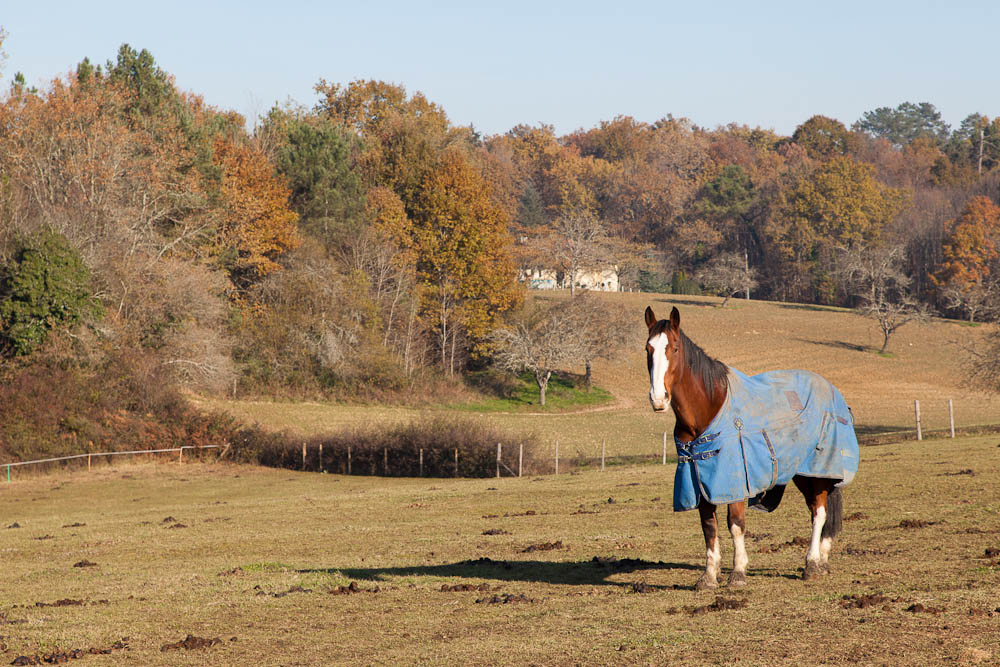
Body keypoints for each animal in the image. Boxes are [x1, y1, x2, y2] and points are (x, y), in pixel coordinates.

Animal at [648, 306, 860, 588]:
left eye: (674, 348)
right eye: (648, 348)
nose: (658, 399)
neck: (709, 406)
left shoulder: (734, 480)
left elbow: (736, 524)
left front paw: (738, 572)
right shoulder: (700, 480)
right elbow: (708, 526)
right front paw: (709, 576)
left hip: (817, 471)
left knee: (819, 512)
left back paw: (813, 563)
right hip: (802, 473)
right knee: (817, 510)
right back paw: (822, 561)